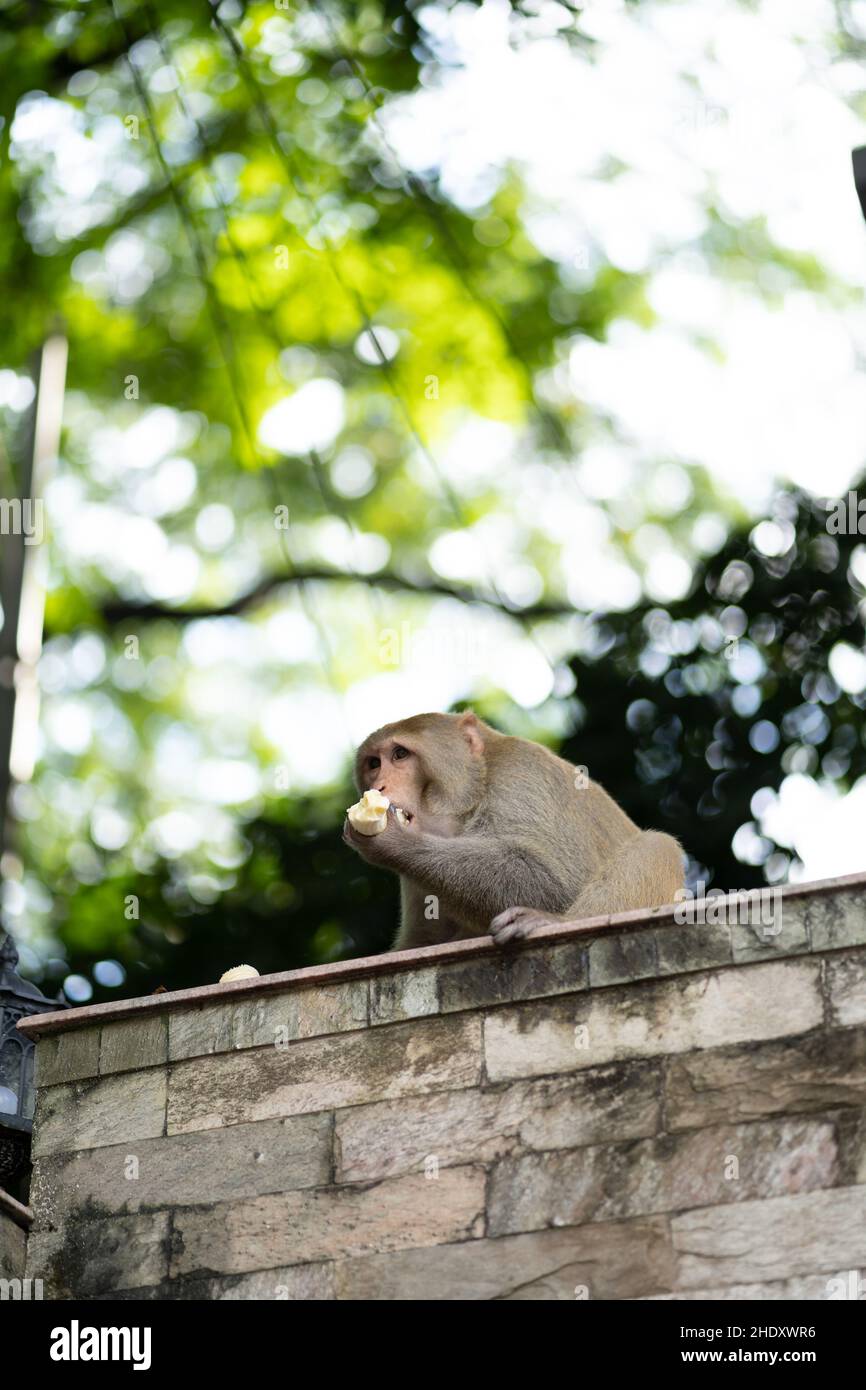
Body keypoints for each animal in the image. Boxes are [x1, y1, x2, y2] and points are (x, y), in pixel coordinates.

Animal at [341, 711, 686, 950]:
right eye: (374, 763)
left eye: (399, 754)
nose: (379, 786)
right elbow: (423, 940)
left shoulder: (522, 774)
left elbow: (553, 882)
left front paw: (392, 841)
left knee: (659, 845)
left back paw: (553, 922)